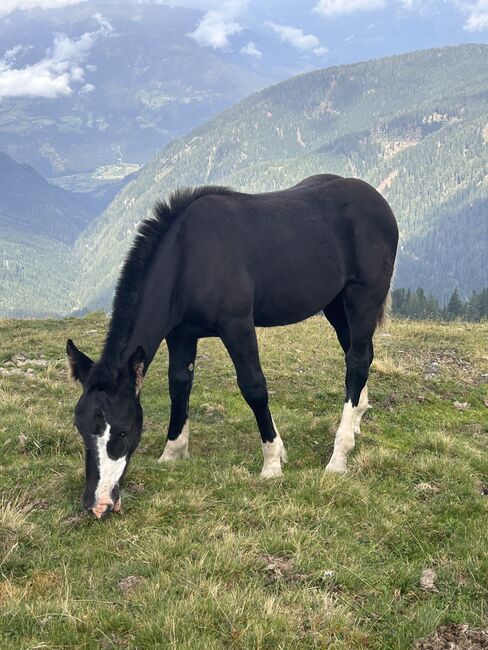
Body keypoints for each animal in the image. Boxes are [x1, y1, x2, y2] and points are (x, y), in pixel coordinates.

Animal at [66, 172, 398, 516]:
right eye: (80, 427)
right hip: (336, 304)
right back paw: (357, 419)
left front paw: (272, 463)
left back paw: (339, 454)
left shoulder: (237, 326)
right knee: (359, 355)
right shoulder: (181, 334)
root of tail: (376, 200)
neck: (187, 257)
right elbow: (179, 385)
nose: (97, 504)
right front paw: (172, 451)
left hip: (363, 298)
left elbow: (254, 387)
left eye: (122, 428)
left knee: (356, 361)